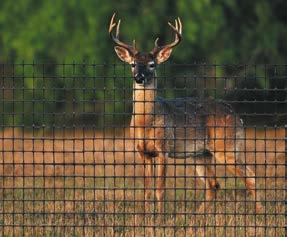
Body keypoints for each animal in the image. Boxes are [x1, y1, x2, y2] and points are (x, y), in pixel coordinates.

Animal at [109, 12, 264, 213]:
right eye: (133, 64)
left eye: (152, 64)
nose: (139, 77)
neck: (146, 122)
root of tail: (239, 118)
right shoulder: (143, 152)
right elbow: (147, 191)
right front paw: (145, 216)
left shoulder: (164, 149)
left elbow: (160, 189)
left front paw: (160, 216)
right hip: (201, 154)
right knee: (214, 184)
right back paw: (199, 215)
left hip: (228, 148)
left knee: (250, 176)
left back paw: (260, 212)